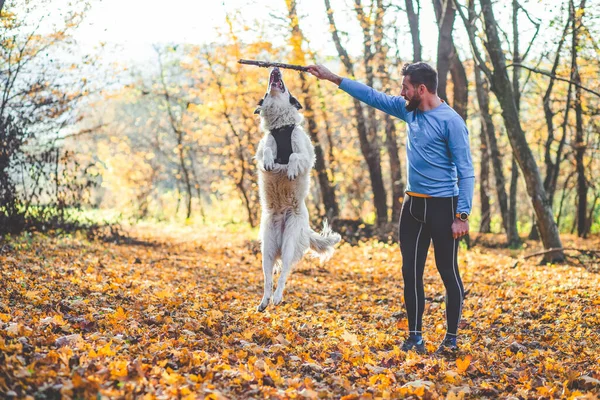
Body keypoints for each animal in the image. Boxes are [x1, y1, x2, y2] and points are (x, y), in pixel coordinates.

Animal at [254, 67, 342, 312]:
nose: (275, 68)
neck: (281, 127)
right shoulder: (264, 148)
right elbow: (266, 152)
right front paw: (270, 161)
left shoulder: (305, 154)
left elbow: (294, 156)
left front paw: (291, 170)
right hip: (267, 249)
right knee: (268, 277)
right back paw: (265, 301)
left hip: (290, 242)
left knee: (284, 272)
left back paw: (277, 297)